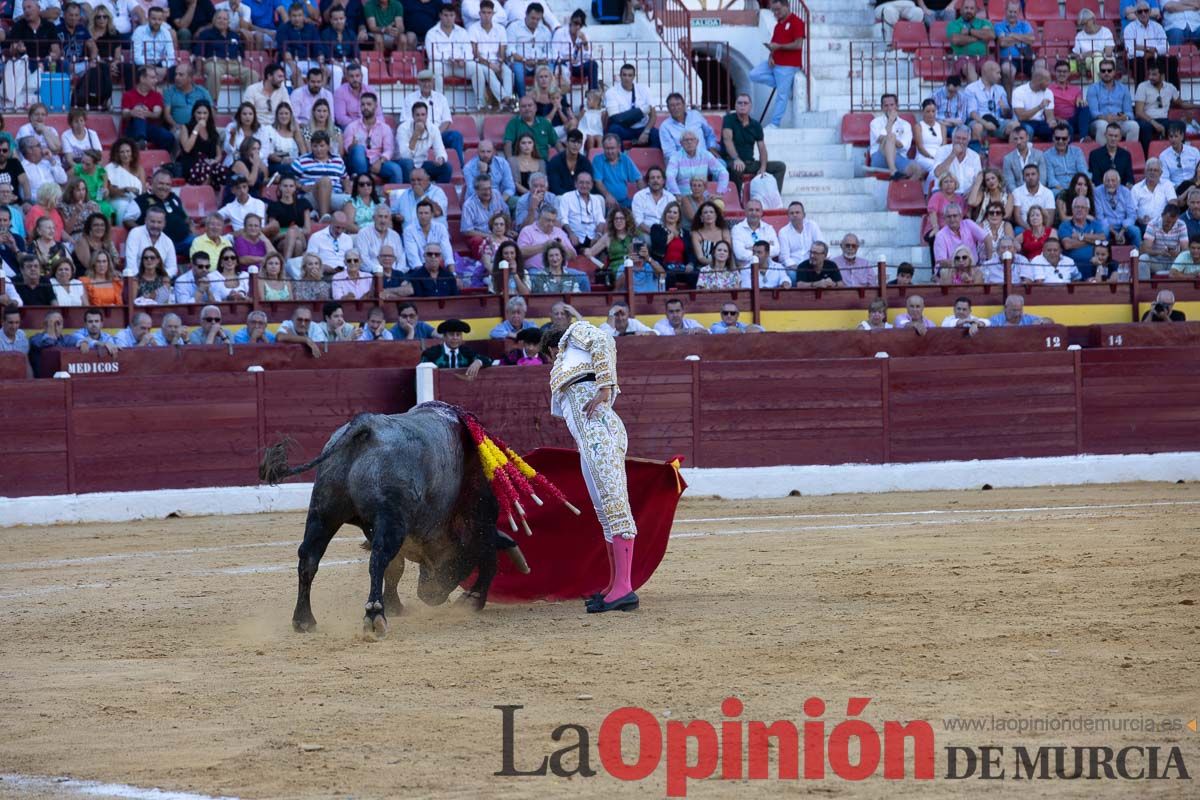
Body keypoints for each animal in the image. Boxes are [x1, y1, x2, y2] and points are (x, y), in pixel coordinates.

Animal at [258, 407, 525, 638]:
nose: (430, 596)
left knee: (309, 557)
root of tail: (366, 426)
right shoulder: (481, 518)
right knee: (377, 558)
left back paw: (304, 620)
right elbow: (488, 556)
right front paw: (473, 599)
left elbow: (395, 567)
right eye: (463, 562)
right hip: (389, 519)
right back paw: (375, 616)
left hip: (323, 511)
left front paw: (396, 606)